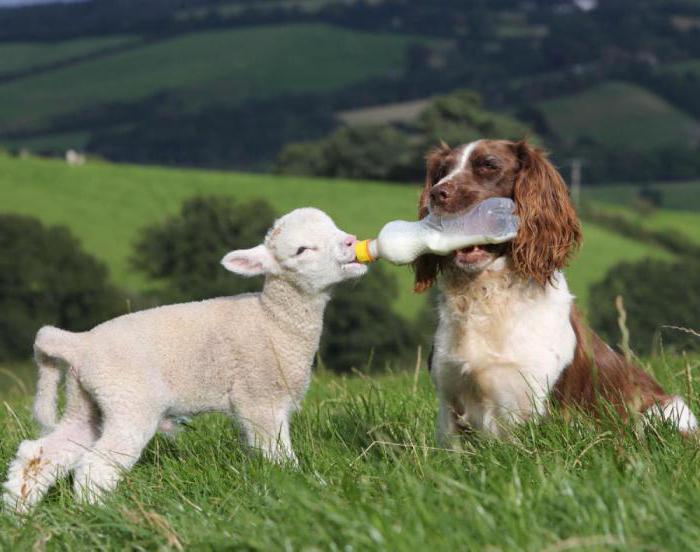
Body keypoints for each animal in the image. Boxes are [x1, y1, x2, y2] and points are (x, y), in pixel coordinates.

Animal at [2, 207, 366, 512]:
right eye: (302, 250)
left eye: (334, 226)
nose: (351, 242)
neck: (273, 321)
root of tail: (79, 344)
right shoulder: (260, 398)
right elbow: (277, 454)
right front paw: (298, 487)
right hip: (129, 400)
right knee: (96, 466)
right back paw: (99, 513)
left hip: (86, 402)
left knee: (39, 454)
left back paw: (19, 513)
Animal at [416, 139, 696, 444]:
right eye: (443, 170)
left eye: (489, 165)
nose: (437, 194)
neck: (487, 296)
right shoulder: (449, 403)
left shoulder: (533, 406)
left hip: (663, 411)